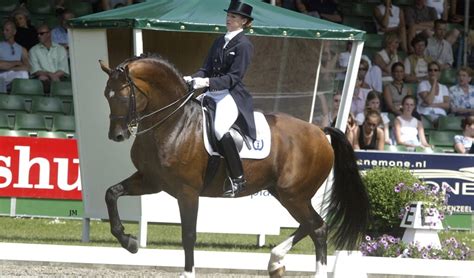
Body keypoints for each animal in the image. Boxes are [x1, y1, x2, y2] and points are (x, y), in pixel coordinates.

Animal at [98, 54, 368, 278]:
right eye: (105, 95)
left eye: (123, 95)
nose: (117, 135)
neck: (173, 123)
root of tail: (320, 132)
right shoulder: (152, 180)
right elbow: (111, 193)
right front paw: (129, 242)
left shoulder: (187, 192)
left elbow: (188, 234)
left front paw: (187, 273)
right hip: (284, 193)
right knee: (310, 225)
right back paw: (275, 262)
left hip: (294, 194)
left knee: (318, 228)